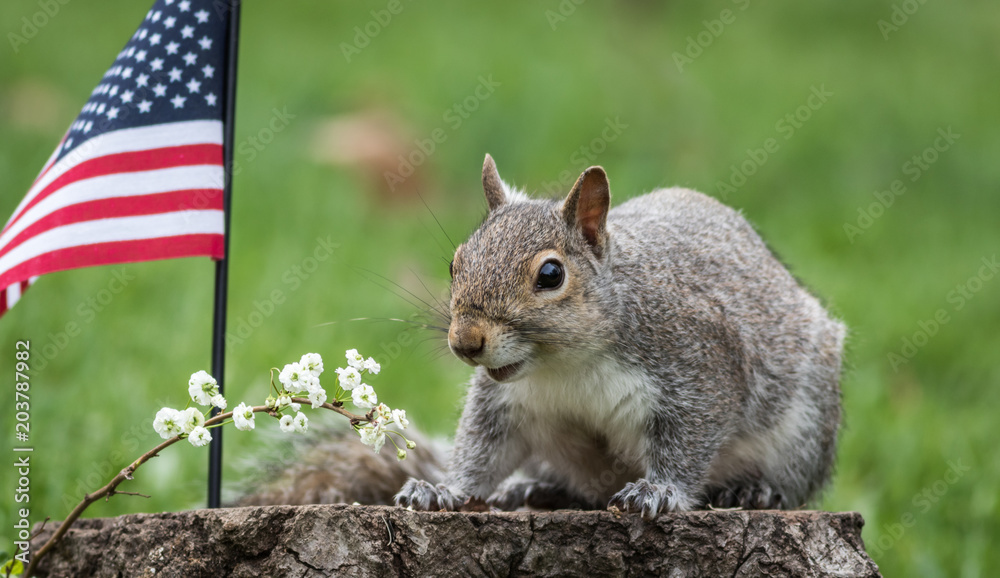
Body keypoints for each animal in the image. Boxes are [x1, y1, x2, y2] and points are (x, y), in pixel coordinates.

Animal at [240, 155, 845, 517]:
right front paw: (445, 488)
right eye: (456, 262)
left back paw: (754, 490)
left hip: (806, 426)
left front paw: (659, 492)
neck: (565, 362)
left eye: (551, 274)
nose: (466, 343)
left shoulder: (697, 368)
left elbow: (688, 442)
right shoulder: (505, 402)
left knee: (793, 479)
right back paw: (533, 487)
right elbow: (481, 451)